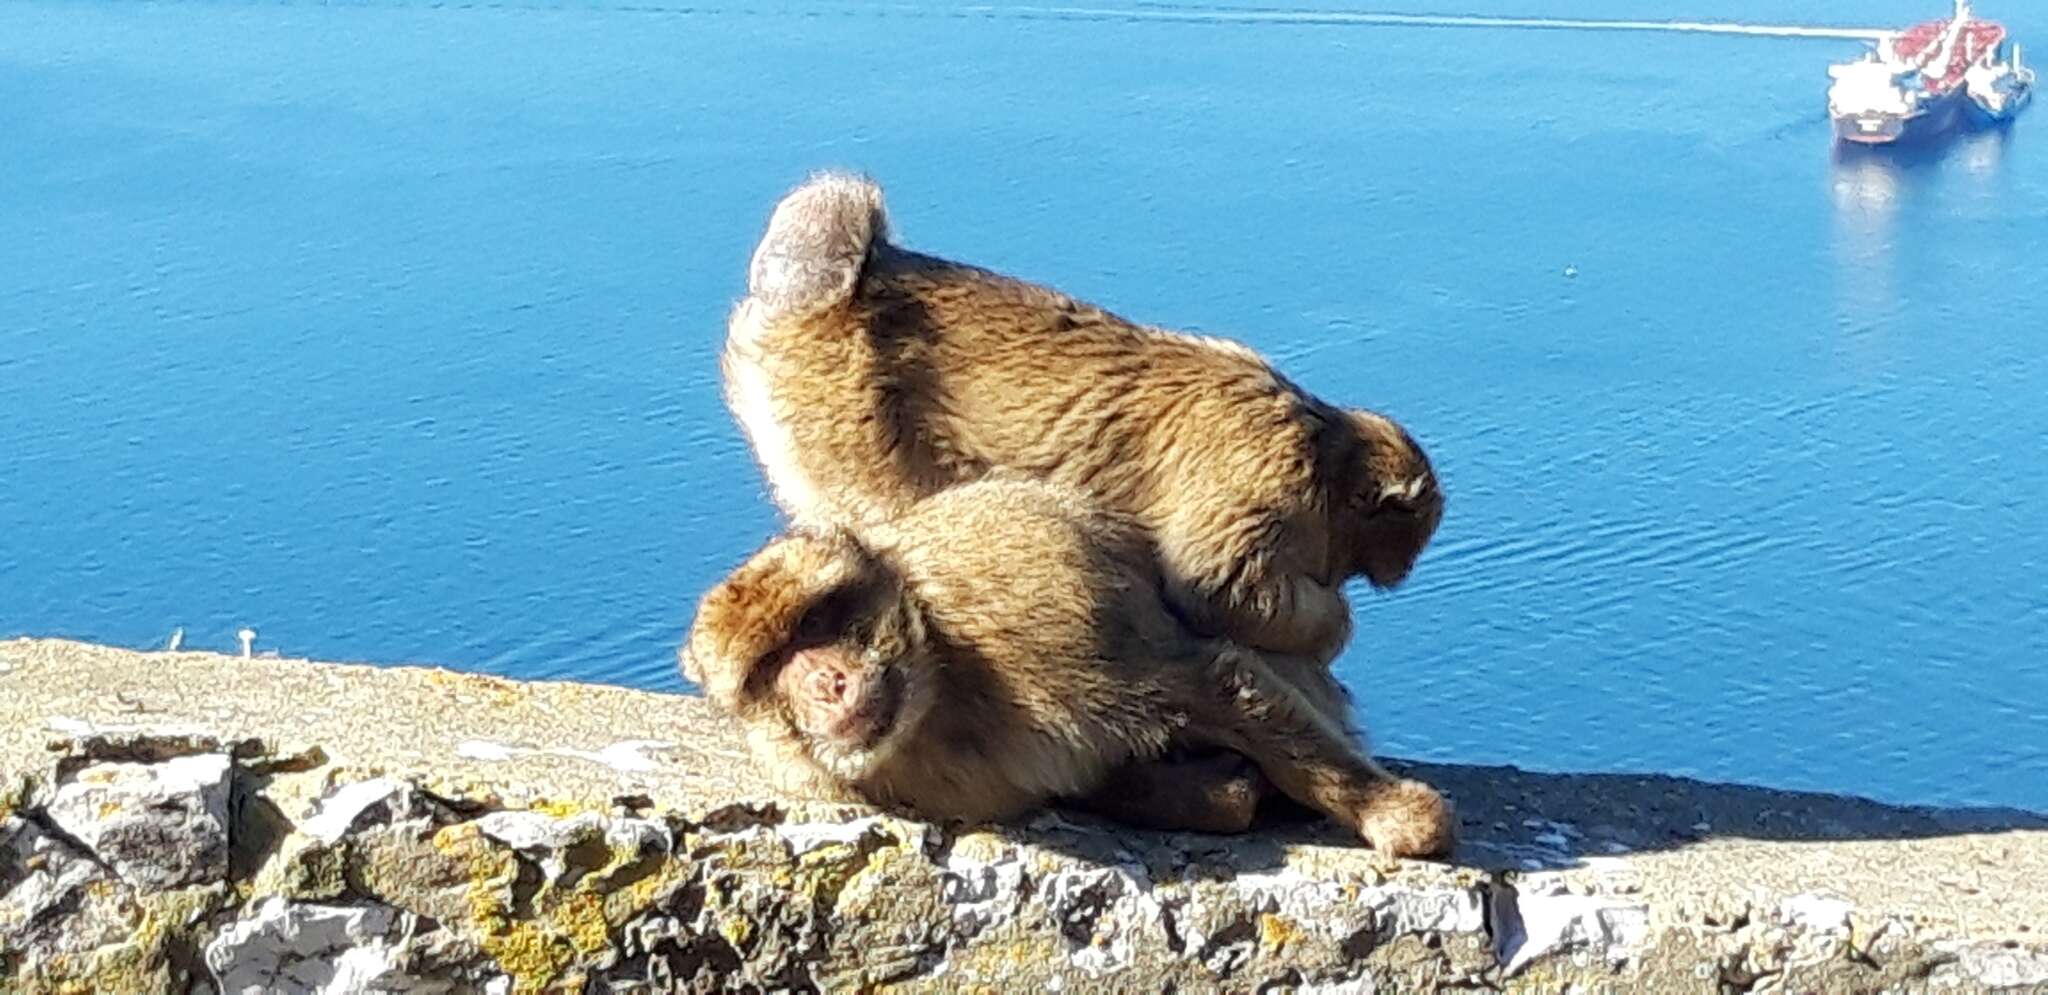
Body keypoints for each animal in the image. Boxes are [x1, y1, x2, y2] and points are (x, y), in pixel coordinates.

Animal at [684, 479, 1458, 859]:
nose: (824, 681)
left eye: (815, 623)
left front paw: (1389, 813)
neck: (941, 700)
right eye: (770, 666)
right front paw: (1208, 792)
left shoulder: (1043, 622)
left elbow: (1204, 679)